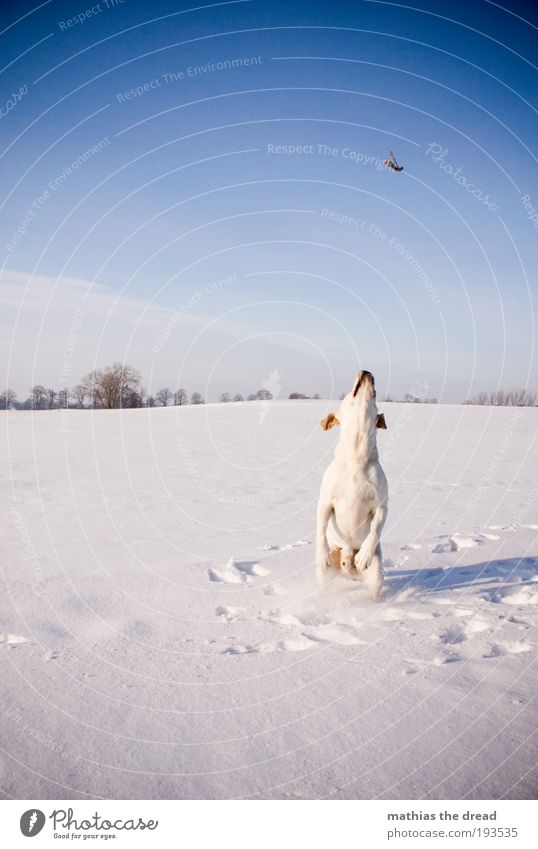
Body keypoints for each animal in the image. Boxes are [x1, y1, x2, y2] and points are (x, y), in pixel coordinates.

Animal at [314, 370, 386, 596]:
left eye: (375, 396)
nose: (366, 371)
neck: (356, 457)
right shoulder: (326, 502)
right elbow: (320, 529)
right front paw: (321, 555)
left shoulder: (381, 506)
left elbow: (375, 528)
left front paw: (363, 555)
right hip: (326, 573)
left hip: (376, 570)